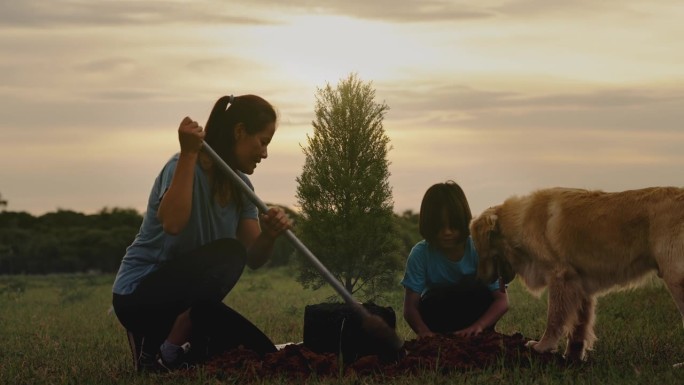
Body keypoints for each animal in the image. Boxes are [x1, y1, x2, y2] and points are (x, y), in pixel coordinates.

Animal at [470, 186, 684, 364]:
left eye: (477, 249)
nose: (478, 279)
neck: (518, 222)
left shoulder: (560, 277)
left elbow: (554, 319)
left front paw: (542, 347)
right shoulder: (581, 283)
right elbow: (579, 327)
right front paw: (572, 358)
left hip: (675, 279)